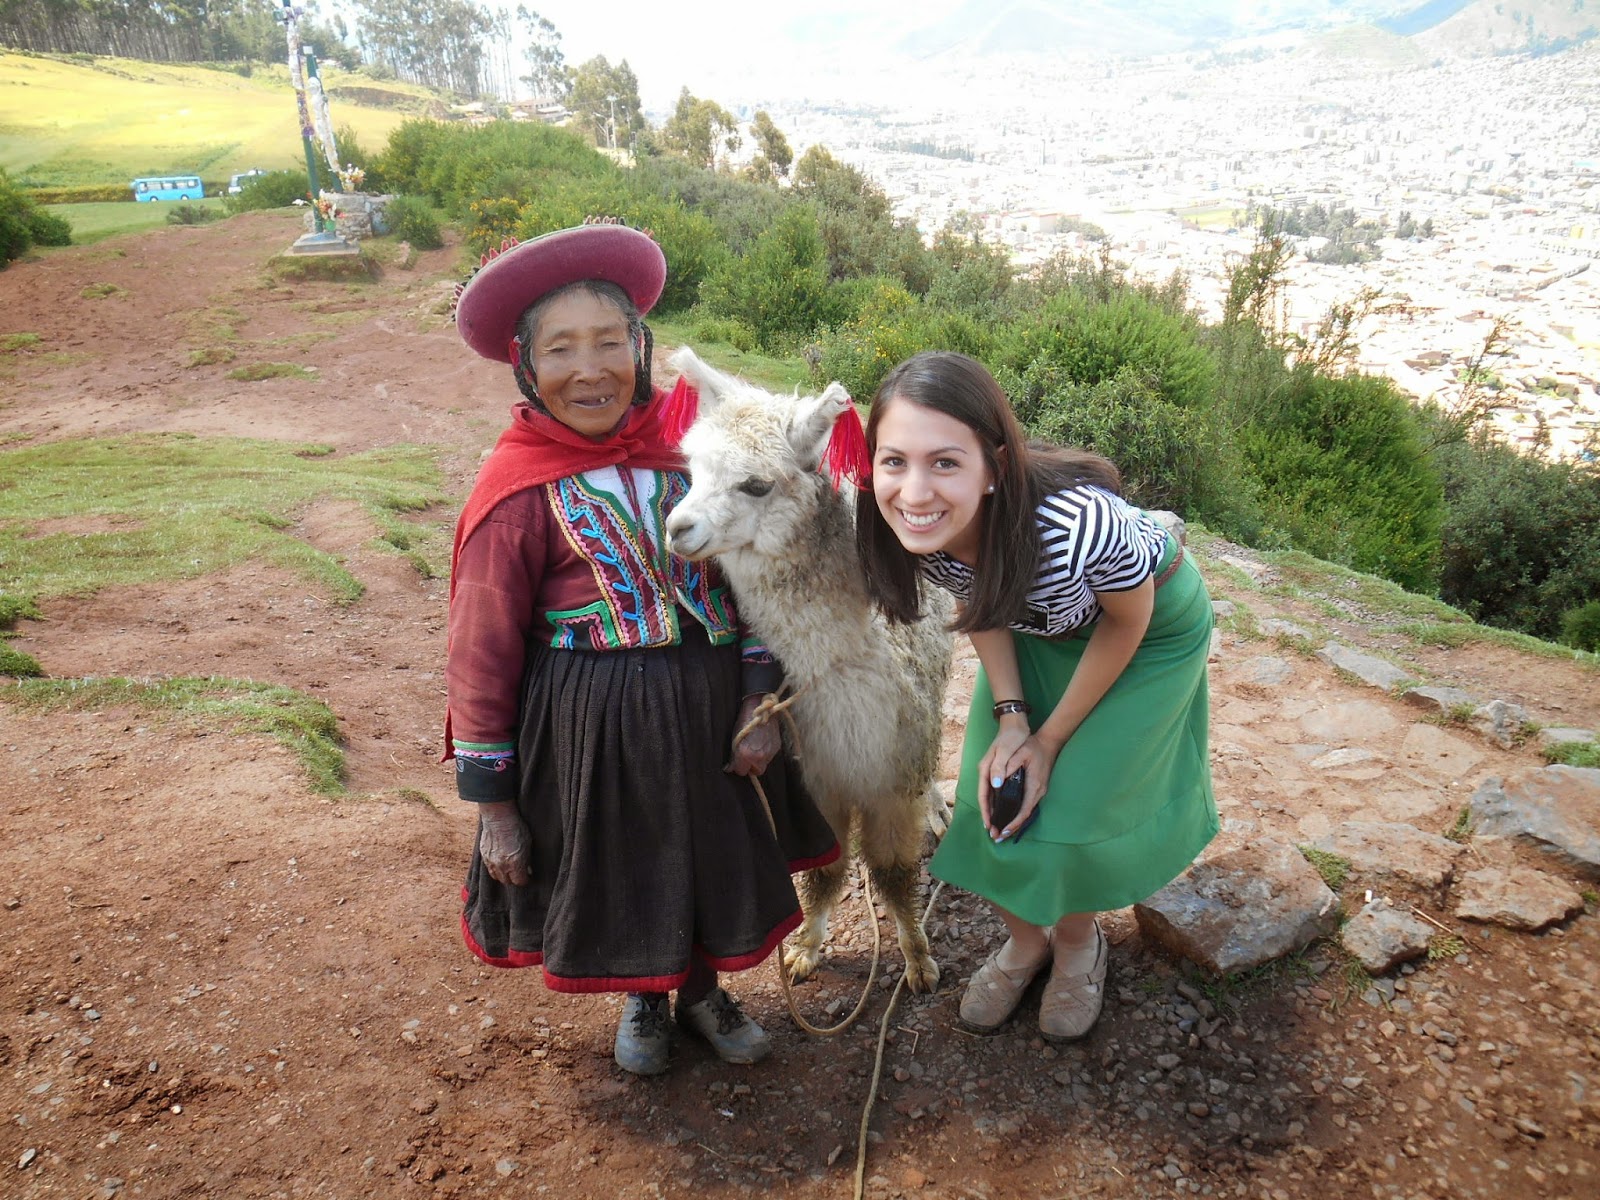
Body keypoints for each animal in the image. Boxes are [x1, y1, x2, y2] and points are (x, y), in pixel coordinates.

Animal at [663, 348, 953, 994]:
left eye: (755, 484)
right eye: (692, 469)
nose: (676, 529)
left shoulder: (891, 772)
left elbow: (893, 874)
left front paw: (918, 960)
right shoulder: (815, 772)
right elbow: (825, 869)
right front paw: (803, 949)